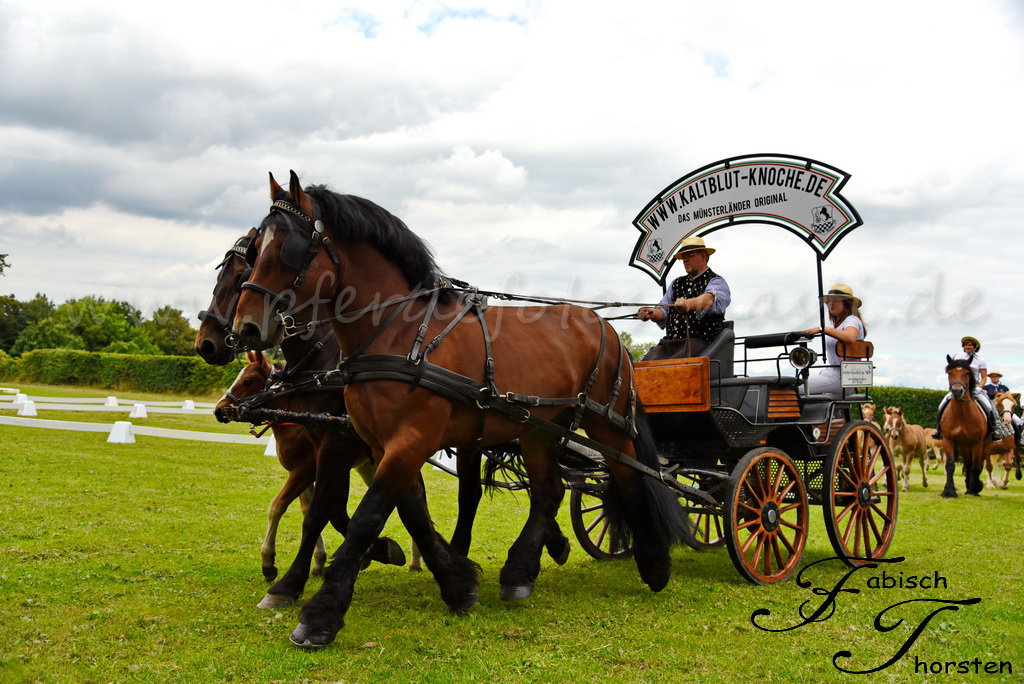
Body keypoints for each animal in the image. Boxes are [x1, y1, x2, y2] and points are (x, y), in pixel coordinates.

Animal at [232, 171, 686, 648]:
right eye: (254, 249)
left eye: (288, 247)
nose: (246, 328)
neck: (399, 334)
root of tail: (605, 327)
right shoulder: (381, 443)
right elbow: (406, 511)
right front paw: (457, 583)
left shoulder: (408, 439)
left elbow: (367, 516)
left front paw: (320, 615)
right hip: (538, 430)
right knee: (549, 491)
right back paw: (518, 573)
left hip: (606, 424)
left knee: (629, 477)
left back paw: (655, 564)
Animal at [939, 355, 987, 497]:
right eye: (950, 373)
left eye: (967, 373)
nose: (957, 391)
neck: (961, 414)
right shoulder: (948, 440)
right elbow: (950, 465)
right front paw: (949, 491)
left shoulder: (977, 444)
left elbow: (976, 468)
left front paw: (976, 487)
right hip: (963, 447)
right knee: (968, 463)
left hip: (982, 446)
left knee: (976, 465)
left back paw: (973, 487)